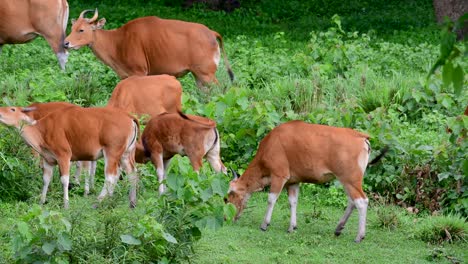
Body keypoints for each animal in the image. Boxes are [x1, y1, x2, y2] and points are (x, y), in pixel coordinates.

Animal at [0, 105, 139, 208]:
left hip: (112, 152)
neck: (42, 131)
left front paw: (66, 204)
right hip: (126, 154)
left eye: (12, 109)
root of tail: (129, 116)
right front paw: (41, 201)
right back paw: (131, 203)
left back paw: (98, 202)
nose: (0, 112)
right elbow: (46, 180)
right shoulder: (48, 160)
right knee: (132, 174)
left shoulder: (64, 156)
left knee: (111, 177)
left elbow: (64, 180)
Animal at [63, 9, 234, 87]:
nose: (65, 43)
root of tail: (211, 33)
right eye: (72, 27)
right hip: (198, 75)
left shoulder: (139, 73)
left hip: (207, 74)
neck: (118, 42)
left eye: (81, 30)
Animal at [227, 120, 388, 242]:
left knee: (361, 202)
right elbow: (293, 202)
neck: (271, 144)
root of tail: (361, 136)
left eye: (228, 197)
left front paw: (264, 224)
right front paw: (292, 227)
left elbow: (271, 199)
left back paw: (359, 236)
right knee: (352, 201)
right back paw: (338, 228)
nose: (228, 217)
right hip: (346, 180)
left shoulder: (279, 176)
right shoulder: (293, 182)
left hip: (350, 179)